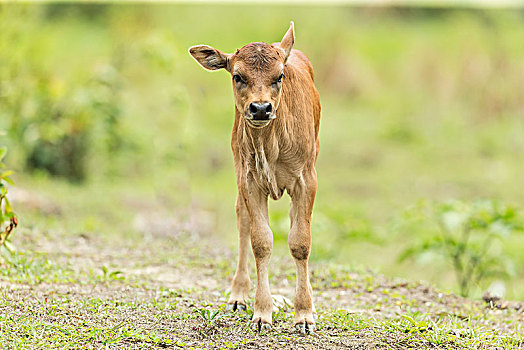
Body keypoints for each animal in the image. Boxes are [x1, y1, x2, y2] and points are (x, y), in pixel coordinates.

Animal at [188, 21, 320, 334]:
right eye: (238, 76)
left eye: (279, 76)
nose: (260, 108)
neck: (271, 144)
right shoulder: (249, 181)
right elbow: (260, 241)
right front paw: (262, 313)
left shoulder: (306, 180)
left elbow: (300, 242)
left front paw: (304, 314)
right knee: (242, 222)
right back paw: (238, 295)